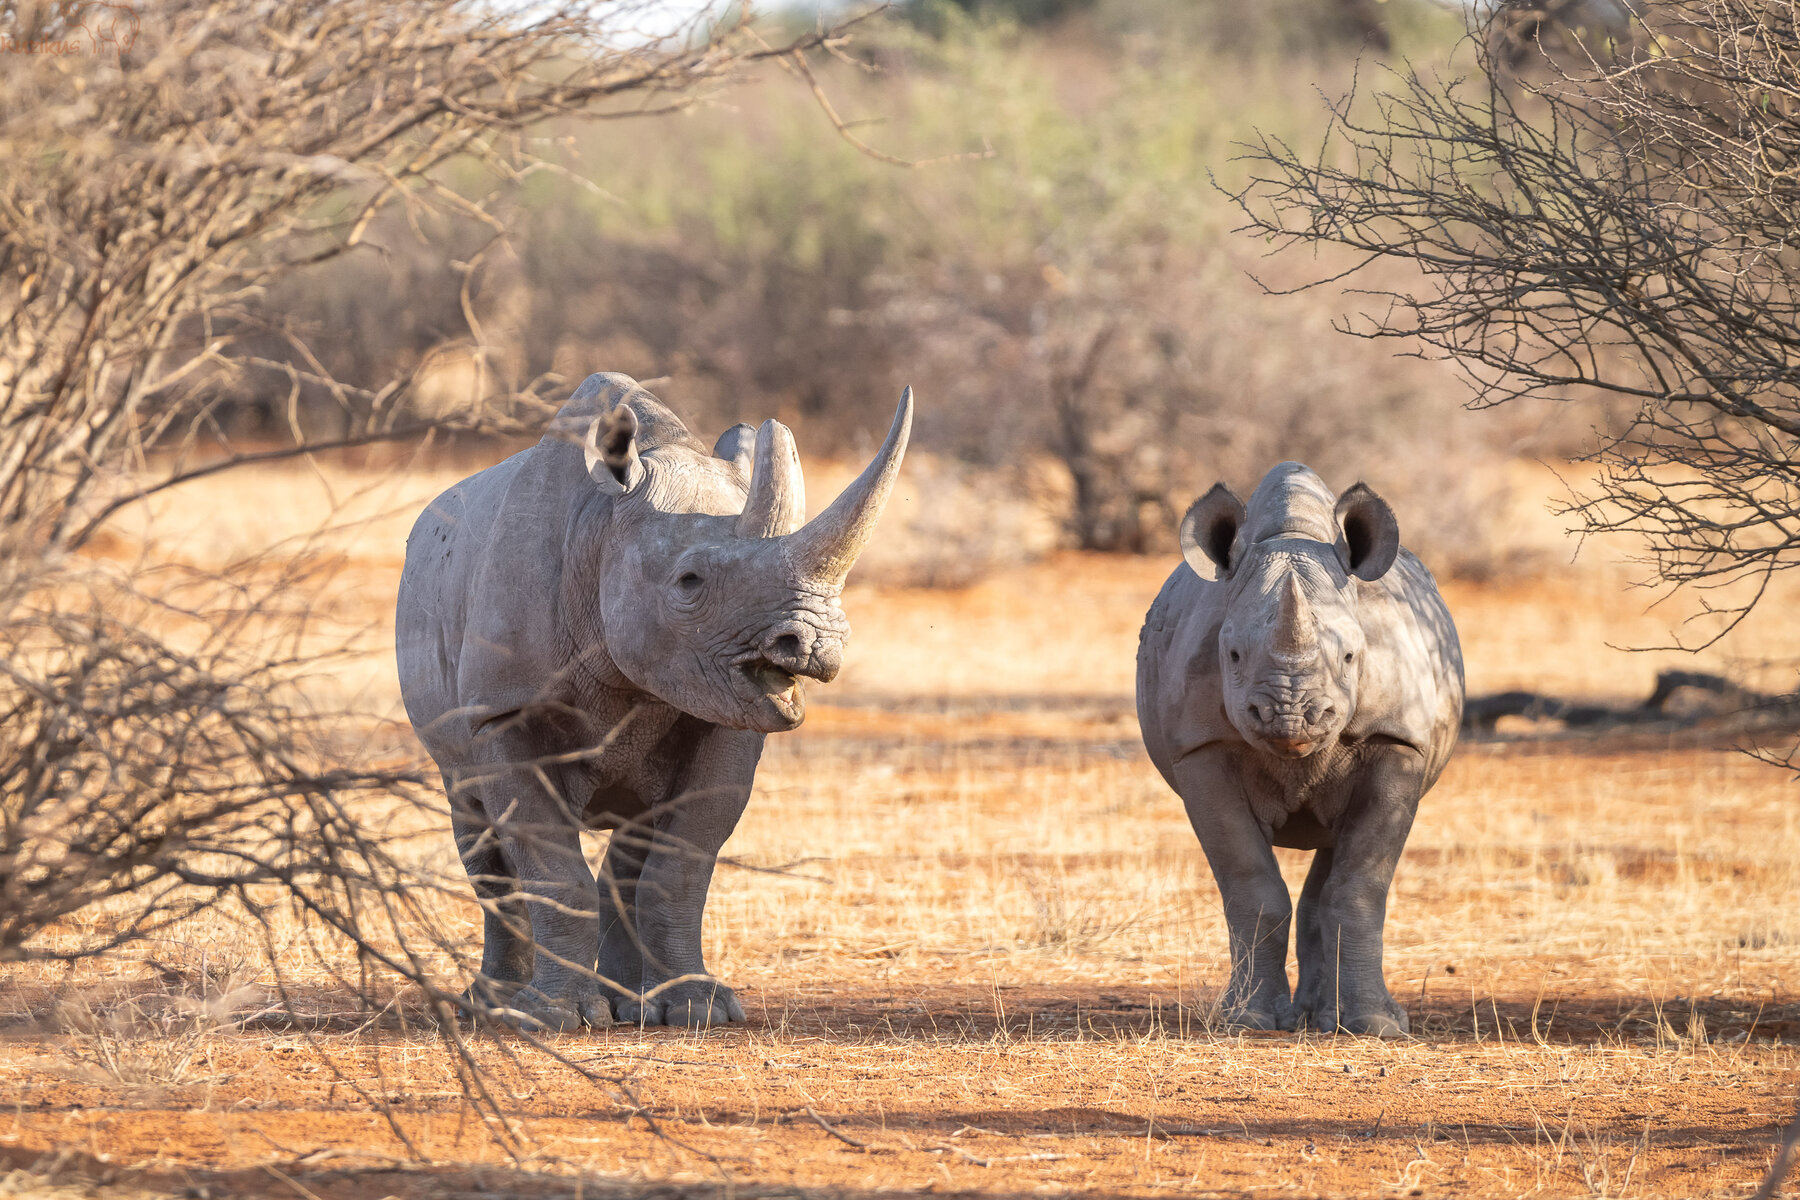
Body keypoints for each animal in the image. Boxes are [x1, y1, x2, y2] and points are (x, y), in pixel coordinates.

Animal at [396, 372, 911, 1030]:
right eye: (688, 582)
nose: (816, 644)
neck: (603, 527)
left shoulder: (726, 716)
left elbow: (682, 864)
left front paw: (701, 1009)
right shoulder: (502, 711)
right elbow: (549, 865)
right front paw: (554, 1018)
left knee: (633, 837)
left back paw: (628, 1005)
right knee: (476, 824)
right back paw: (492, 1006)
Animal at [1136, 462, 1462, 1036]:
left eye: (1353, 656)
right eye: (1232, 655)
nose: (1289, 716)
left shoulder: (1397, 738)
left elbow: (1361, 886)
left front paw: (1377, 1027)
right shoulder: (1200, 746)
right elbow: (1251, 887)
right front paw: (1245, 1020)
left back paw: (1329, 1019)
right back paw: (1310, 1017)